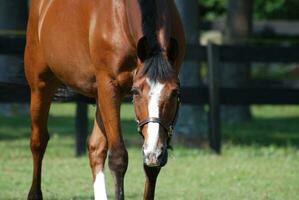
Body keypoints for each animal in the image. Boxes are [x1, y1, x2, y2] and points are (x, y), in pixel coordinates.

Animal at [25, 0, 185, 199]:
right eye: (135, 92)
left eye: (175, 93)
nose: (153, 153)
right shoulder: (109, 86)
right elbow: (118, 158)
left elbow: (151, 168)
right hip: (41, 85)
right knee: (38, 141)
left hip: (98, 95)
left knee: (96, 148)